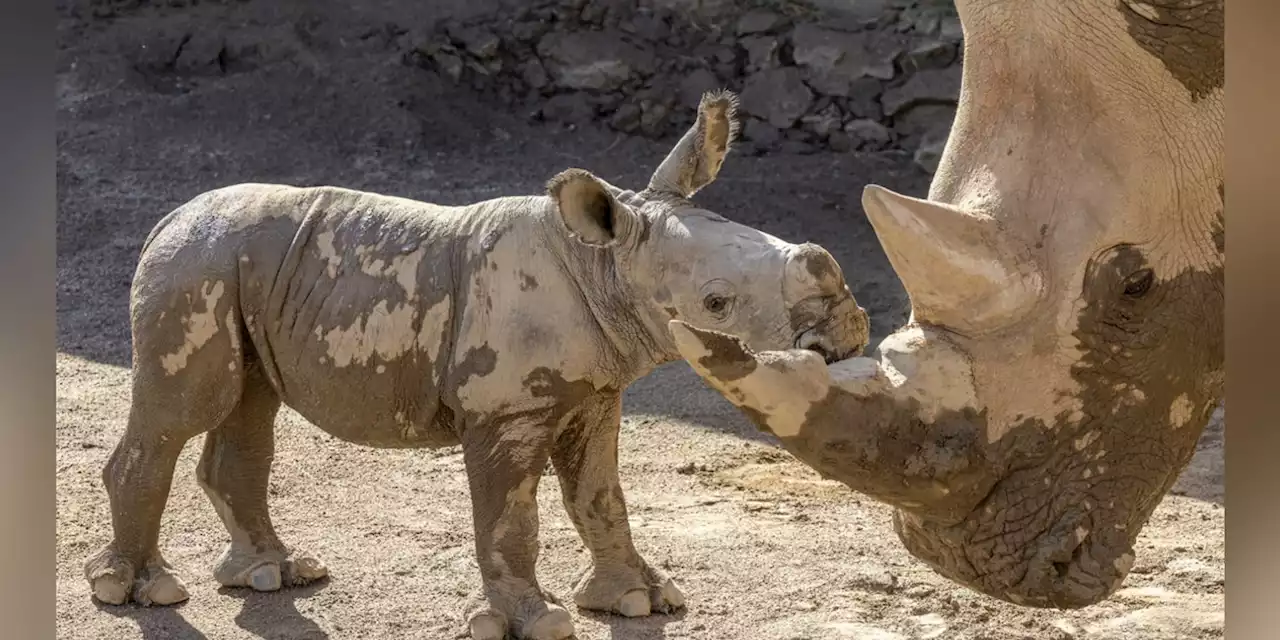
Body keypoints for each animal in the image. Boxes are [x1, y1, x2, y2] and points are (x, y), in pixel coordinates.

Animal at [82, 90, 870, 640]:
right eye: (716, 302)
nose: (847, 328)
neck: (605, 262)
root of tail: (168, 217)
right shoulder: (505, 409)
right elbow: (510, 515)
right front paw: (538, 622)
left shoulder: (595, 392)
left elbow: (601, 495)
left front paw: (641, 600)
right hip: (195, 266)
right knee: (184, 410)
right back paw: (142, 592)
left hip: (239, 267)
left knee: (248, 405)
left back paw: (274, 575)